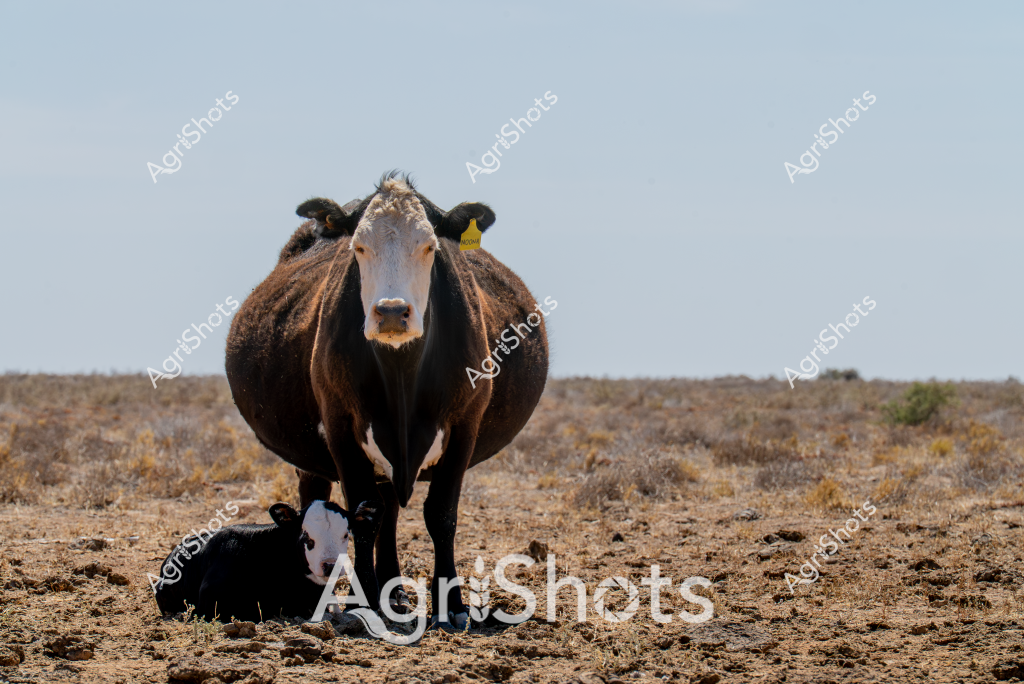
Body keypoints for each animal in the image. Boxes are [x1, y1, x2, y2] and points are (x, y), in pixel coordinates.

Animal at [225, 172, 549, 630]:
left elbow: (440, 514)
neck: (402, 378)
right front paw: (361, 602)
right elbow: (362, 517)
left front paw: (452, 606)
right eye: (359, 247)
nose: (392, 312)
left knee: (390, 512)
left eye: (429, 246)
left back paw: (394, 592)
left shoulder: (465, 423)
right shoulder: (340, 424)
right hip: (312, 457)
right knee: (326, 499)